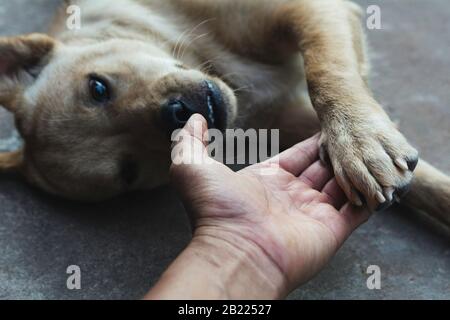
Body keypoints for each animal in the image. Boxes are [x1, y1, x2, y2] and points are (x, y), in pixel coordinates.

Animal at [0, 0, 448, 225]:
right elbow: (429, 184)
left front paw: (357, 141)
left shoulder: (310, 9)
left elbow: (326, 71)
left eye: (97, 88)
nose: (178, 114)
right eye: (128, 172)